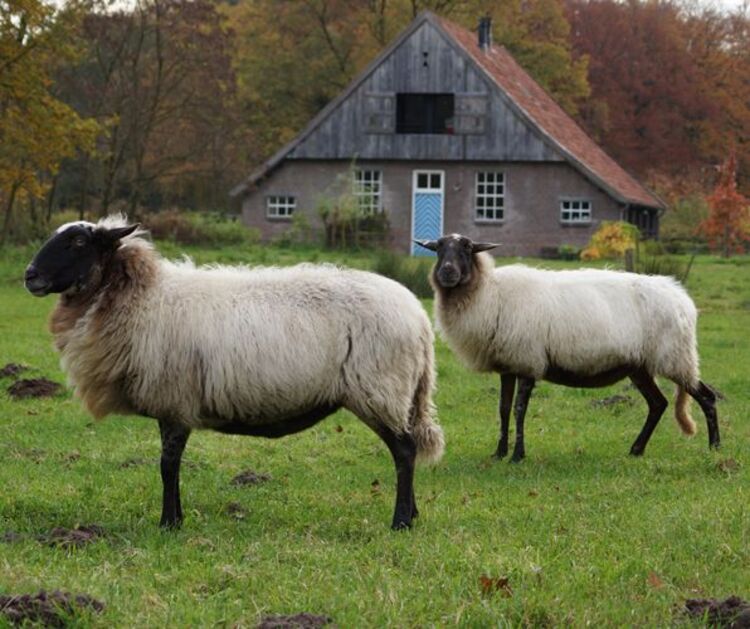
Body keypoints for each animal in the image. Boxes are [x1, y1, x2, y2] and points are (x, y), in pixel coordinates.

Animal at [26, 216, 444, 528]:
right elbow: (171, 463)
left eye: (78, 241)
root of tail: (418, 316)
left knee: (405, 451)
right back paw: (413, 515)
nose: (30, 275)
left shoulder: (174, 399)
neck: (140, 296)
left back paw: (400, 521)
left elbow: (167, 464)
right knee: (408, 449)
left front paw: (167, 524)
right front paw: (177, 518)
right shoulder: (172, 404)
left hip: (379, 389)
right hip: (396, 393)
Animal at [420, 233, 720, 458]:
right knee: (658, 403)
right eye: (439, 248)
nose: (447, 272)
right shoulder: (509, 364)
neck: (488, 293)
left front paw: (517, 455)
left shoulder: (528, 360)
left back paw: (715, 447)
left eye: (467, 248)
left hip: (675, 357)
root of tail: (682, 298)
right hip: (640, 366)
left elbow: (519, 410)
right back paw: (636, 449)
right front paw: (499, 453)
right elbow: (503, 409)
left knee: (706, 397)